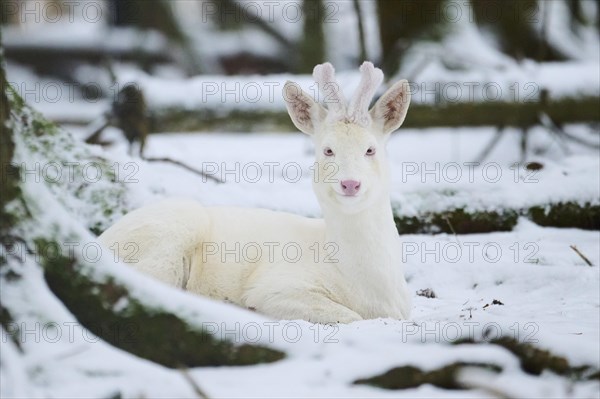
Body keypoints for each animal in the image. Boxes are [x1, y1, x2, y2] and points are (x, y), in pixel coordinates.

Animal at [101, 62, 414, 324]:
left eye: (370, 149)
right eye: (328, 150)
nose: (350, 184)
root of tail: (102, 242)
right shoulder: (276, 286)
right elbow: (350, 318)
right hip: (168, 237)